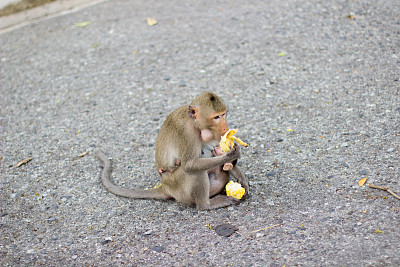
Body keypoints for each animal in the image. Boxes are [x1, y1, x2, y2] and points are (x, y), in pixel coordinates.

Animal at [95, 92, 248, 211]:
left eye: (223, 114)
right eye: (216, 117)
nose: (225, 127)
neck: (196, 124)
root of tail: (165, 186)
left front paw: (243, 181)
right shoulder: (186, 132)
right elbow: (190, 165)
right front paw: (231, 155)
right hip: (178, 187)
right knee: (194, 171)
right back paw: (206, 205)